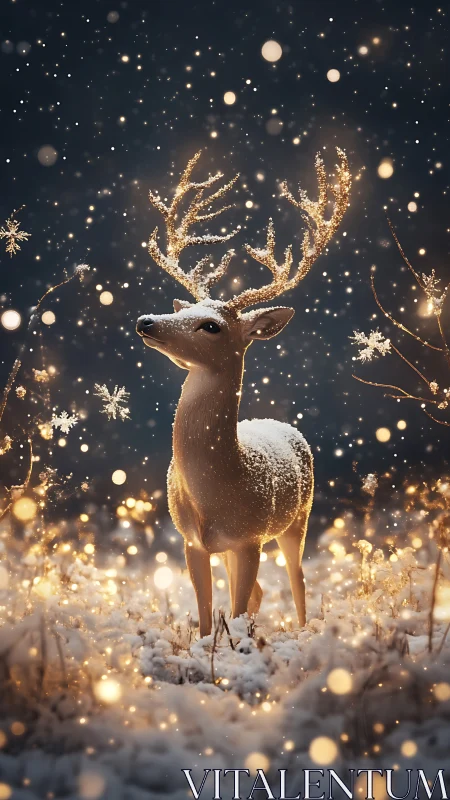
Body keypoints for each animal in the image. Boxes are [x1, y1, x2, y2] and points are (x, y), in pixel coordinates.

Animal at [136, 149, 351, 637]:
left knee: (296, 581)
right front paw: (212, 650)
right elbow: (205, 619)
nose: (146, 321)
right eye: (188, 308)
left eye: (211, 325)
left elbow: (234, 610)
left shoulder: (251, 537)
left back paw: (302, 631)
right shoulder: (193, 542)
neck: (218, 488)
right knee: (259, 594)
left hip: (298, 519)